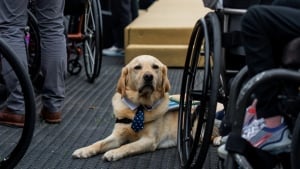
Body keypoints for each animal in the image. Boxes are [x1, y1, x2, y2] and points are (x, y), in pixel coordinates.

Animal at [71, 55, 219, 161]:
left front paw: (114, 152)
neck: (140, 107)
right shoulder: (117, 136)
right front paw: (84, 150)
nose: (148, 76)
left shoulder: (149, 140)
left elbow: (128, 146)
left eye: (155, 67)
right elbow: (99, 143)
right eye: (137, 67)